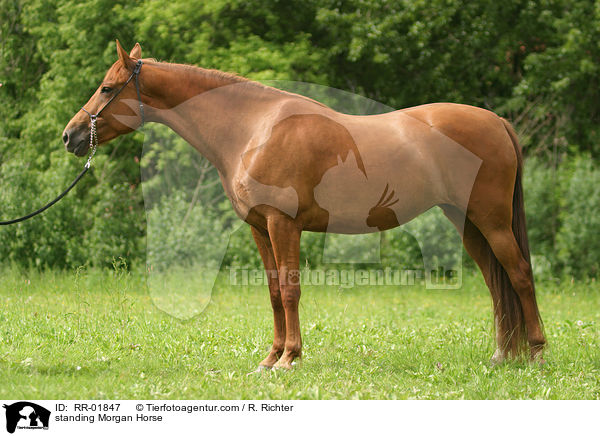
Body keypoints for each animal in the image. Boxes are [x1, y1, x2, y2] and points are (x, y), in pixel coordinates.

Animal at [63, 41, 548, 370]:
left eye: (106, 88)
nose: (70, 136)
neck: (253, 128)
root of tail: (497, 121)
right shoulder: (259, 227)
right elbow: (274, 291)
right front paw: (270, 357)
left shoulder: (284, 224)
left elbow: (291, 289)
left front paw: (289, 358)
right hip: (468, 224)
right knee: (496, 281)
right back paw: (502, 355)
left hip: (491, 221)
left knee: (520, 274)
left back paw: (538, 354)